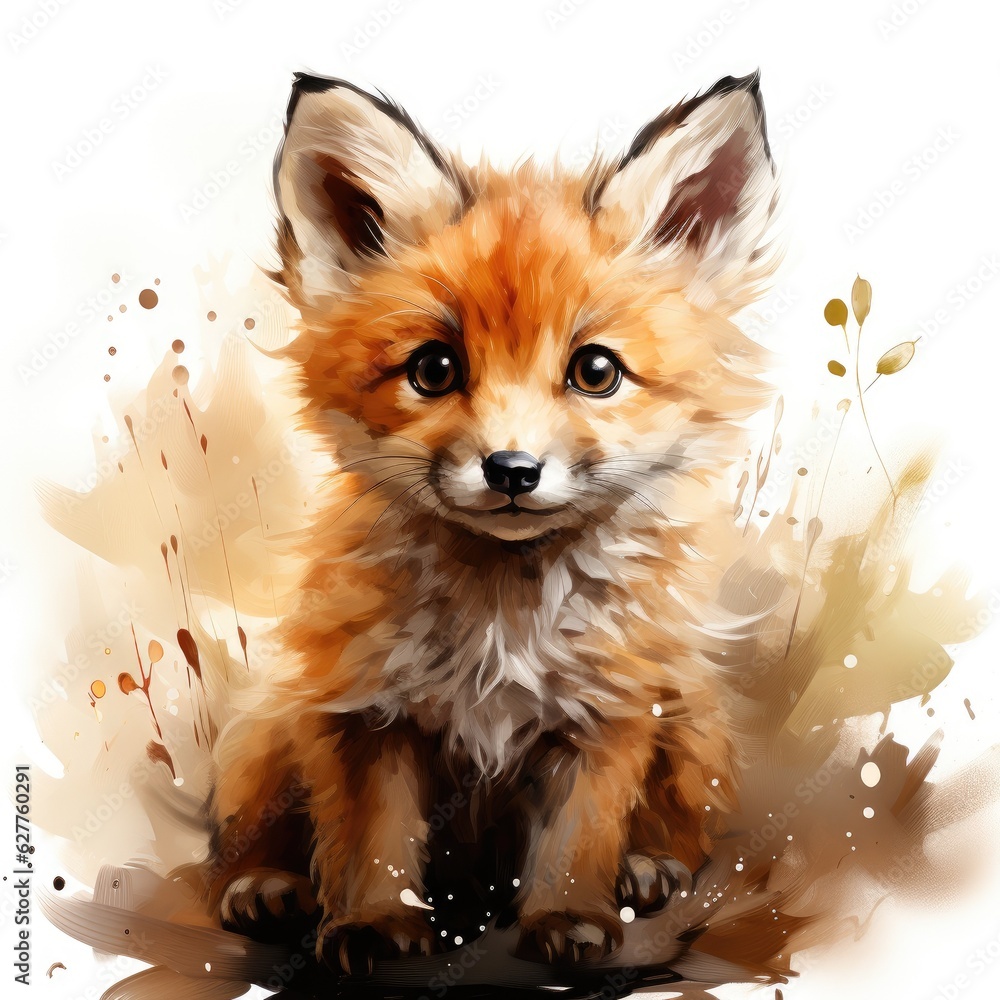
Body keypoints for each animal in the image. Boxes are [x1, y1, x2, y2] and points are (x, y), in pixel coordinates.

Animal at [207, 70, 780, 975]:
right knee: (249, 828)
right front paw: (372, 923)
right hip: (271, 722)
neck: (503, 617)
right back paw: (265, 883)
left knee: (684, 832)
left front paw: (570, 916)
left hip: (690, 716)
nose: (512, 470)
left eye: (596, 371)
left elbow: (580, 838)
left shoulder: (606, 715)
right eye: (434, 369)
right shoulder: (367, 714)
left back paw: (648, 867)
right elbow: (373, 842)